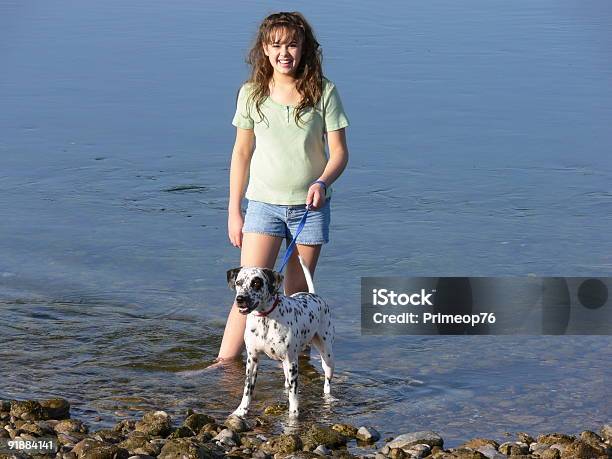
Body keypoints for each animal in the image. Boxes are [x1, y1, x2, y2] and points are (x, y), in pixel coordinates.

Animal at [227, 256, 334, 418]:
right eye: (238, 282)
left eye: (256, 283)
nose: (240, 299)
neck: (265, 320)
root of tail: (314, 295)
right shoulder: (252, 360)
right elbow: (247, 389)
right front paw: (241, 410)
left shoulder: (292, 362)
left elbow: (294, 394)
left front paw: (293, 415)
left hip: (326, 356)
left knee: (326, 382)